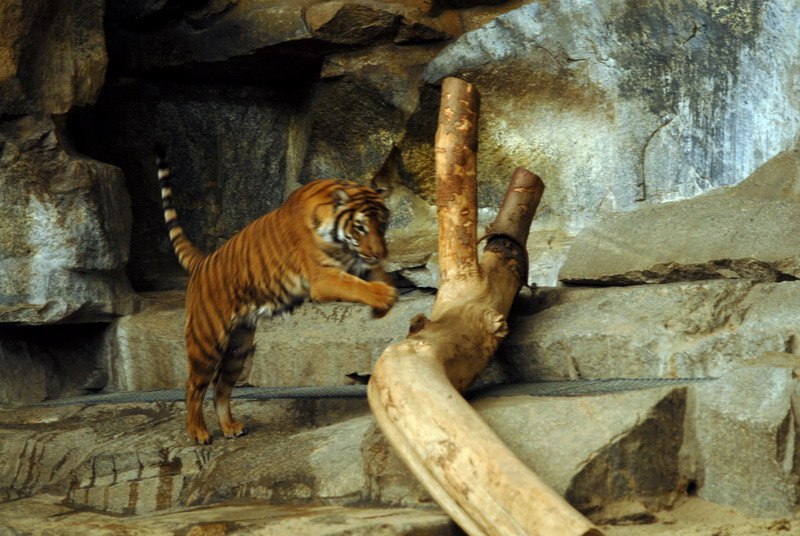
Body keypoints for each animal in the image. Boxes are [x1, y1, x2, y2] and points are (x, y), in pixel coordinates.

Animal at [156, 148, 397, 444]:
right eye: (360, 227)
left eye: (382, 226)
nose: (379, 253)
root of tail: (202, 262)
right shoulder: (323, 277)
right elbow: (356, 287)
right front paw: (384, 298)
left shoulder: (360, 263)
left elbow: (379, 277)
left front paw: (386, 299)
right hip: (207, 341)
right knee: (194, 386)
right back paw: (198, 433)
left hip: (238, 347)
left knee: (221, 388)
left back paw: (230, 427)